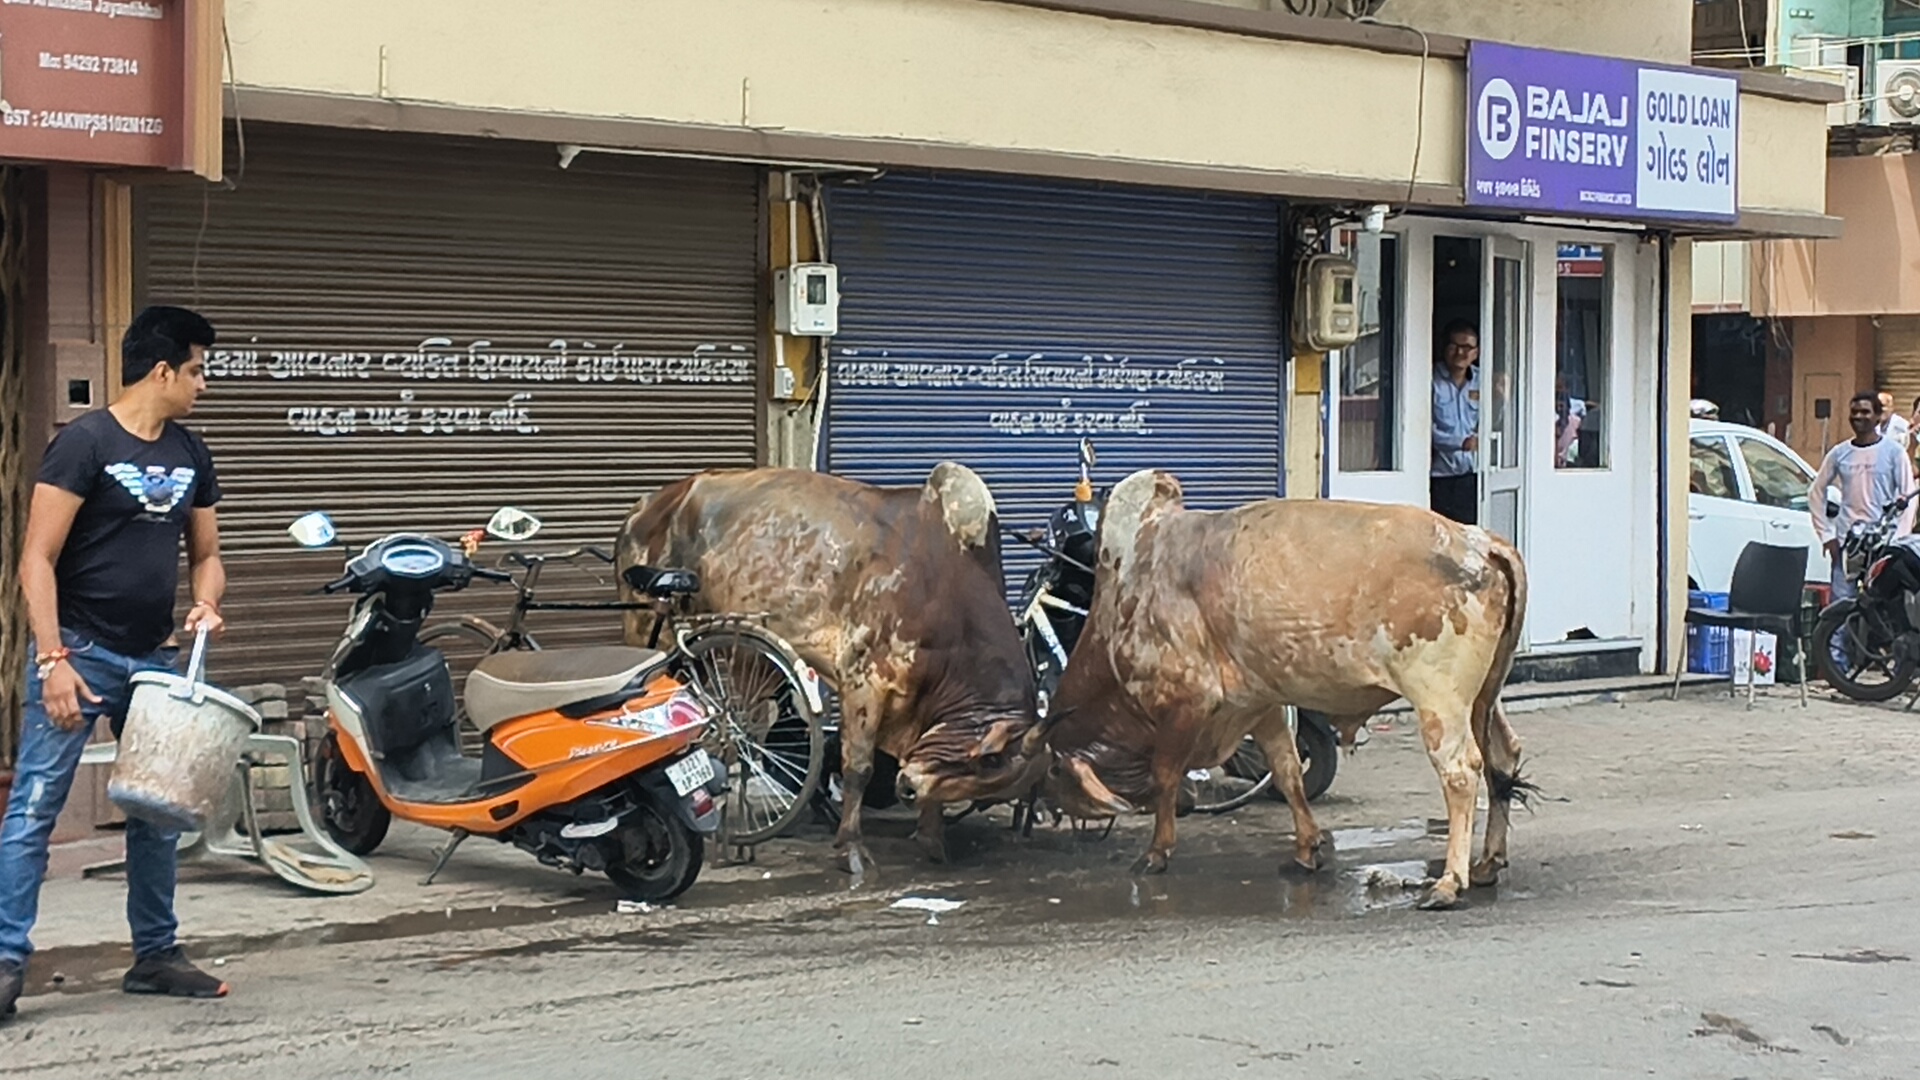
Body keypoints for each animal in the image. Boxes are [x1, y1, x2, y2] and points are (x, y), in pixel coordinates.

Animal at [618, 457, 1044, 880]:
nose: (908, 787)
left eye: (990, 771)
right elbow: (858, 768)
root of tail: (647, 505)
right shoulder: (862, 676)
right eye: (991, 759)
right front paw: (850, 848)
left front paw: (932, 839)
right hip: (647, 629)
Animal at [1021, 466, 1528, 903]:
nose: (1042, 814)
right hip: (1484, 697)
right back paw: (1488, 863)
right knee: (1503, 756)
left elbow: (1166, 775)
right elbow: (1286, 772)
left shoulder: (1185, 700)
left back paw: (1450, 881)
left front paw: (1156, 852)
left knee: (1460, 771)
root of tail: (1481, 543)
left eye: (1050, 773)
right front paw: (1306, 849)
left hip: (1439, 698)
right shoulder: (1257, 704)